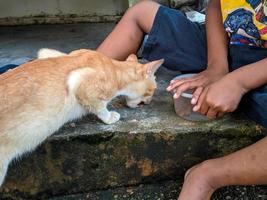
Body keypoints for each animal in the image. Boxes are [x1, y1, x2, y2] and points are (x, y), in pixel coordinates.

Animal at [0, 48, 164, 186]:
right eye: (153, 90)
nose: (148, 102)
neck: (114, 68)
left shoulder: (52, 53)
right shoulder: (80, 83)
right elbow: (100, 107)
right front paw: (110, 117)